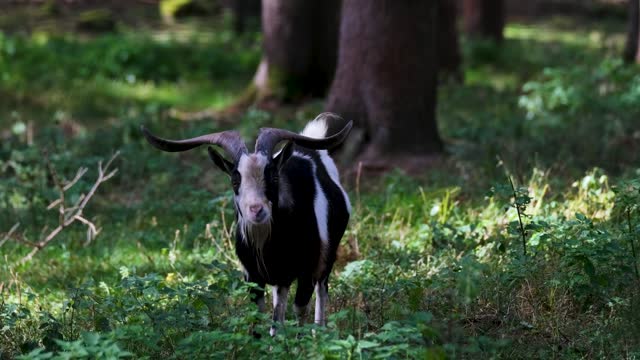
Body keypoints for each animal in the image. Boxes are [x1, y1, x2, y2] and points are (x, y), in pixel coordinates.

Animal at [141, 112, 352, 334]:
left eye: (273, 177)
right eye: (235, 180)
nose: (256, 210)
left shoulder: (306, 270)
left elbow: (300, 311)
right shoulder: (253, 277)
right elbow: (260, 317)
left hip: (326, 258)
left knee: (321, 291)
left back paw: (319, 333)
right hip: (281, 279)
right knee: (279, 308)